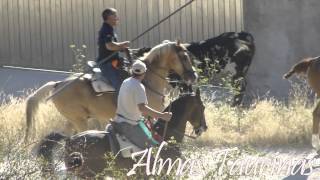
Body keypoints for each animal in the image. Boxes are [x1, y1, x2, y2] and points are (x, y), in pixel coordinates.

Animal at [25, 40, 198, 141]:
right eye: (184, 57)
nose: (193, 76)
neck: (147, 79)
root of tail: (58, 84)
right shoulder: (150, 113)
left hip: (72, 119)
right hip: (79, 121)